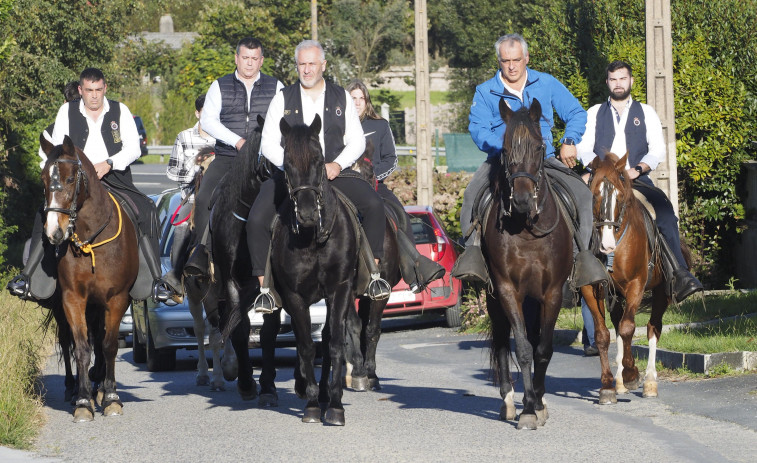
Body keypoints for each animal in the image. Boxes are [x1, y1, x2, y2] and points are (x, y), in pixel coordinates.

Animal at [39, 135, 139, 424]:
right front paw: (83, 402)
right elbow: (82, 347)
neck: (91, 241)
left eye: (71, 179)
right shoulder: (72, 299)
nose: (54, 232)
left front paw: (111, 397)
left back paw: (100, 387)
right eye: (43, 179)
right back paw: (73, 389)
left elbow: (108, 345)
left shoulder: (117, 299)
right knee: (66, 341)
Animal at [274, 114, 368, 426]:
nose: (306, 214)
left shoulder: (339, 289)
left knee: (328, 339)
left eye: (318, 160)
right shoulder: (293, 295)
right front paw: (313, 404)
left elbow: (335, 343)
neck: (313, 238)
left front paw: (335, 404)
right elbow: (305, 345)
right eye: (287, 162)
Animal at [484, 99, 572, 432]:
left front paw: (539, 404)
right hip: (494, 299)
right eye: (506, 148)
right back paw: (509, 403)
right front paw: (528, 410)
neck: (527, 230)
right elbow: (521, 349)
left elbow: (542, 349)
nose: (521, 199)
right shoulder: (507, 290)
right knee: (500, 342)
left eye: (539, 146)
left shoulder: (552, 292)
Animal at [580, 153, 676, 406]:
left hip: (661, 292)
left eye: (620, 196)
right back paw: (620, 381)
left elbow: (627, 328)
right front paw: (608, 386)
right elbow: (603, 335)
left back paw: (649, 382)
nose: (607, 245)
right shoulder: (591, 288)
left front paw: (633, 374)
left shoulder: (636, 285)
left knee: (652, 328)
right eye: (594, 194)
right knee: (617, 324)